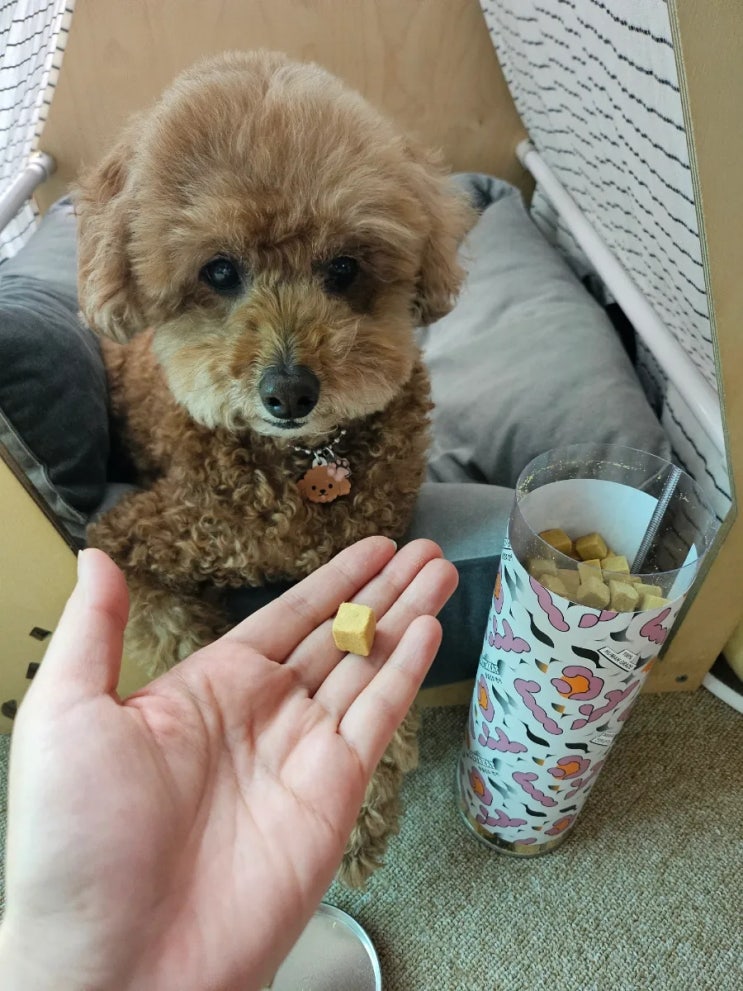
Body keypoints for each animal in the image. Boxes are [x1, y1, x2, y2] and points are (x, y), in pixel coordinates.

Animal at [75, 50, 473, 886]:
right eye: (220, 271)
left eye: (344, 267)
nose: (290, 391)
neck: (303, 462)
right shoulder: (128, 539)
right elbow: (180, 633)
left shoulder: (373, 543)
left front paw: (362, 810)